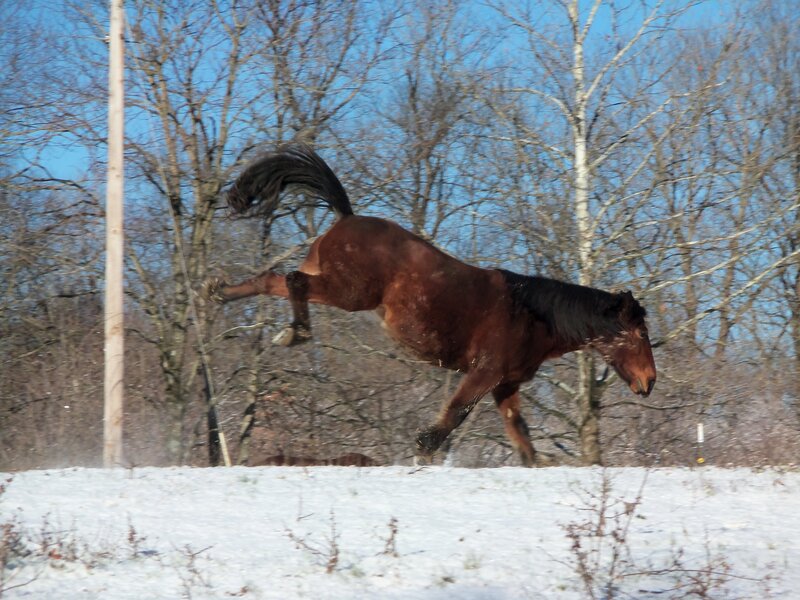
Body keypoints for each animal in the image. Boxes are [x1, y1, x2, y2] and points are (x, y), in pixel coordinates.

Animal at [203, 144, 657, 467]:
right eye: (639, 333)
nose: (649, 382)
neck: (530, 314)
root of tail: (346, 218)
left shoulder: (505, 385)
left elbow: (521, 437)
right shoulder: (485, 372)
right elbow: (457, 411)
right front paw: (424, 446)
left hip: (332, 285)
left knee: (271, 279)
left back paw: (219, 292)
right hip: (347, 293)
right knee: (294, 282)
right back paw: (295, 332)